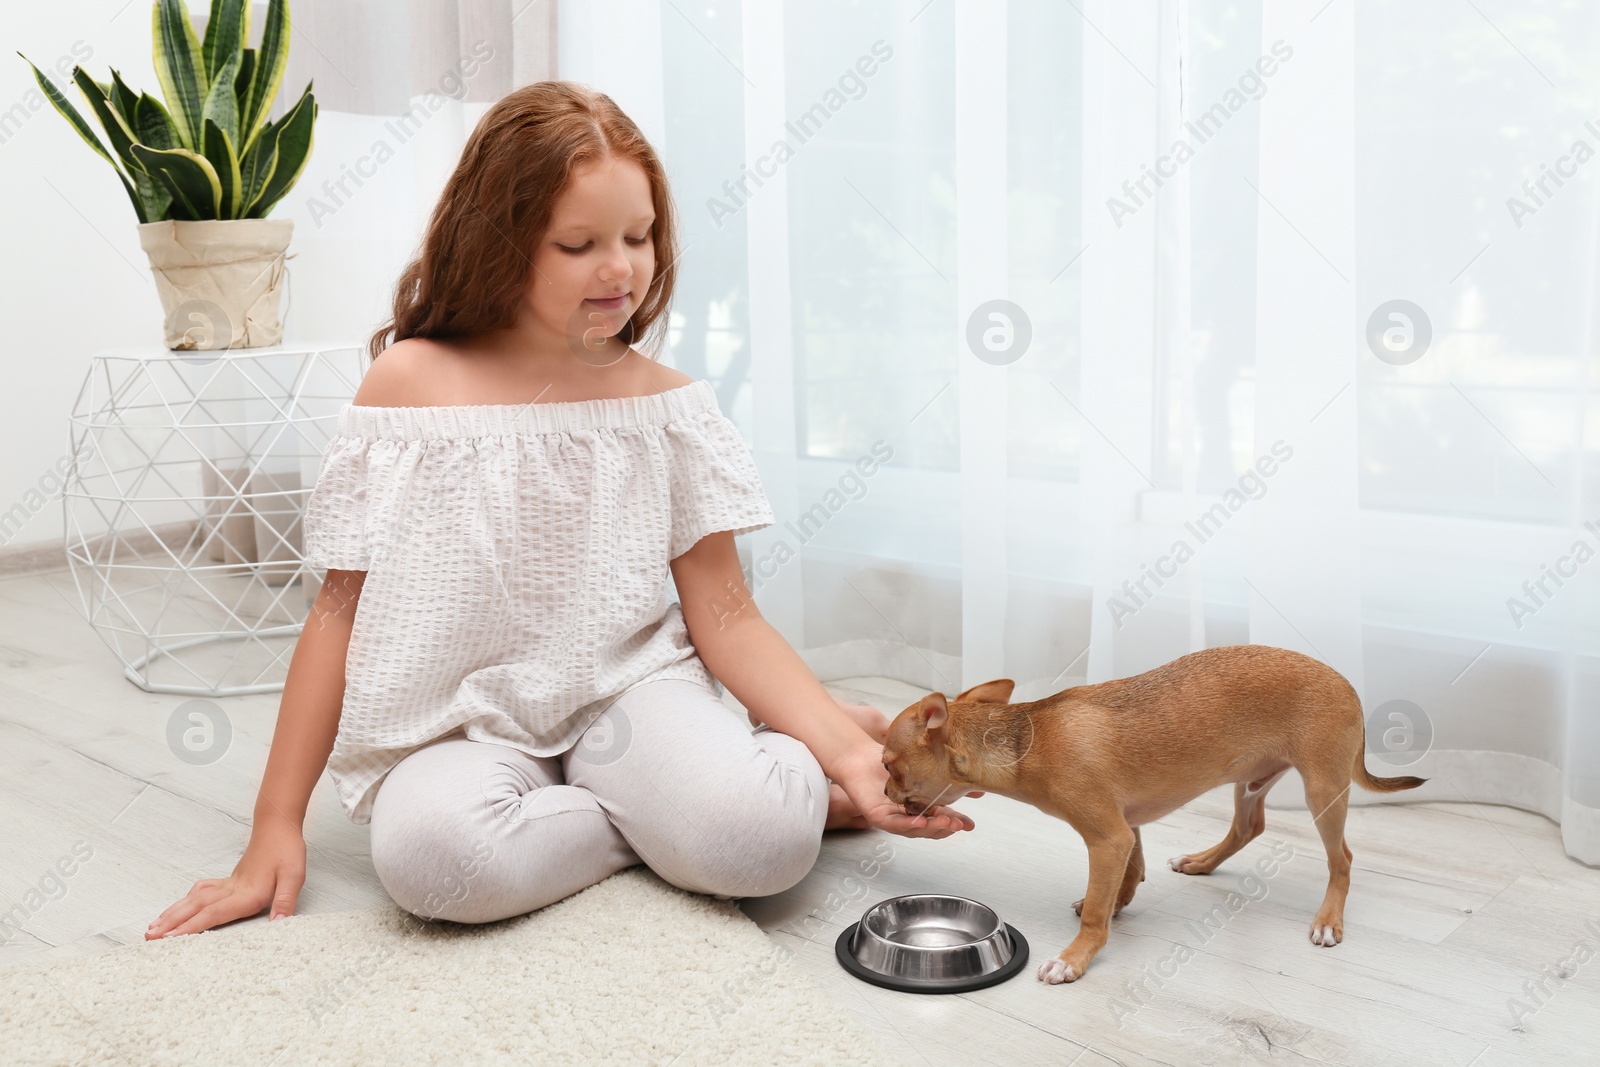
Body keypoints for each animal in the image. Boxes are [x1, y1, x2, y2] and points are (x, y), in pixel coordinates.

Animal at [889, 643, 1427, 985]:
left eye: (890, 766)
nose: (887, 792)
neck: (1024, 742)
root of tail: (1347, 683)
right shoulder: (1125, 827)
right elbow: (1131, 870)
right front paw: (1116, 902)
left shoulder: (1107, 837)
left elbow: (1098, 910)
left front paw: (1076, 957)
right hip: (1251, 781)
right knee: (1247, 827)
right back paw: (1201, 862)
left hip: (1323, 791)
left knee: (1343, 859)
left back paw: (1328, 919)